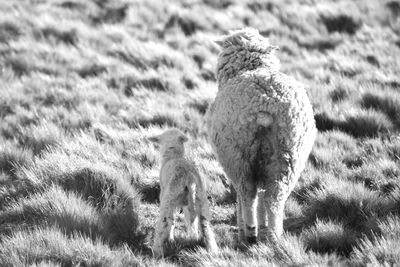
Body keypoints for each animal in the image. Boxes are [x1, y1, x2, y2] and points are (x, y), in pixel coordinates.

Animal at [148, 129, 219, 258]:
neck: (173, 156)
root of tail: (189, 177)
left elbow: (171, 221)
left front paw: (170, 239)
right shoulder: (187, 205)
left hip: (169, 197)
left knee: (164, 222)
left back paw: (157, 252)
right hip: (200, 199)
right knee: (206, 227)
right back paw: (212, 251)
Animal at [206, 27, 316, 245]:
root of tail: (265, 104)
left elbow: (243, 198)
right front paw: (263, 222)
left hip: (238, 156)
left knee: (247, 194)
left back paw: (248, 232)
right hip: (288, 156)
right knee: (274, 198)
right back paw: (273, 235)